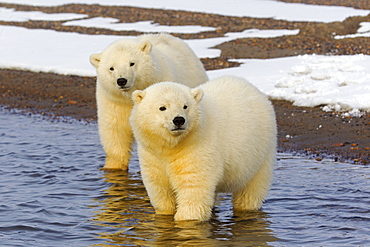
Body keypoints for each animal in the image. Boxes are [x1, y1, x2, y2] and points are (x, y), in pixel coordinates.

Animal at [89, 32, 208, 170]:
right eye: (111, 68)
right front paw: (113, 167)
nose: (122, 80)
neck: (129, 98)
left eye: (132, 63)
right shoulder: (114, 102)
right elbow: (116, 130)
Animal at [131, 75, 278, 222]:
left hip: (261, 153)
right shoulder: (152, 155)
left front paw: (186, 219)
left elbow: (193, 190)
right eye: (162, 107)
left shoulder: (196, 149)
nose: (179, 120)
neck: (172, 146)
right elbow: (161, 190)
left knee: (251, 190)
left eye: (185, 106)